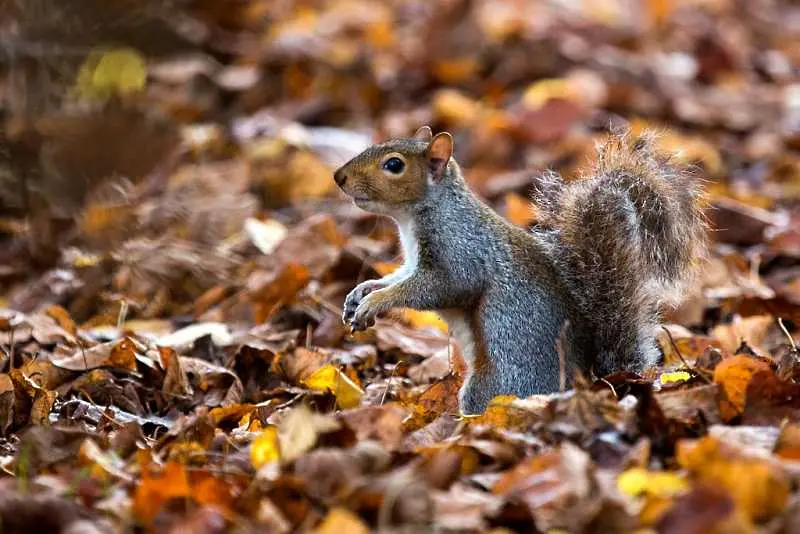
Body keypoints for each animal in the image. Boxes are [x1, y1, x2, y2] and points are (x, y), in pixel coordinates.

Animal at [332, 125, 708, 414]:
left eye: (394, 165)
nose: (339, 177)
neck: (418, 215)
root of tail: (591, 381)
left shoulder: (461, 251)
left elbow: (441, 287)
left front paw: (375, 302)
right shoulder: (412, 262)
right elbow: (398, 278)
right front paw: (363, 292)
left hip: (497, 382)